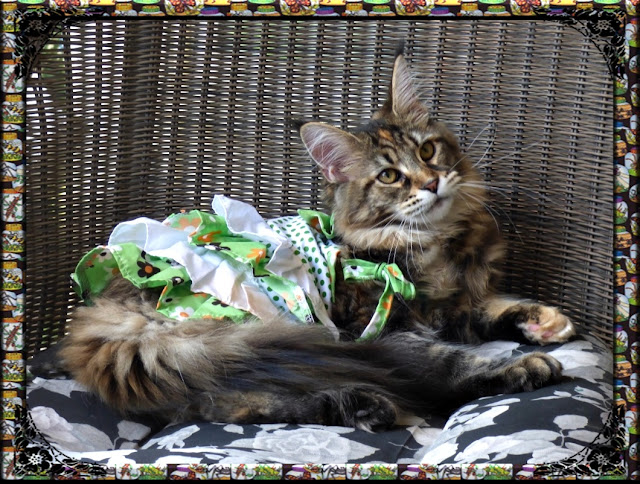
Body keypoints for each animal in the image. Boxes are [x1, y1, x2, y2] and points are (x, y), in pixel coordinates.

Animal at [56, 51, 575, 432]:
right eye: (390, 176)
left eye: (428, 150)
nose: (431, 183)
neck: (436, 242)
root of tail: (113, 308)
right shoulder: (385, 327)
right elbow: (448, 361)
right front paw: (519, 368)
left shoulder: (448, 308)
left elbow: (490, 309)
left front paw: (544, 322)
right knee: (218, 402)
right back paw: (360, 404)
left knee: (216, 403)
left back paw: (357, 405)